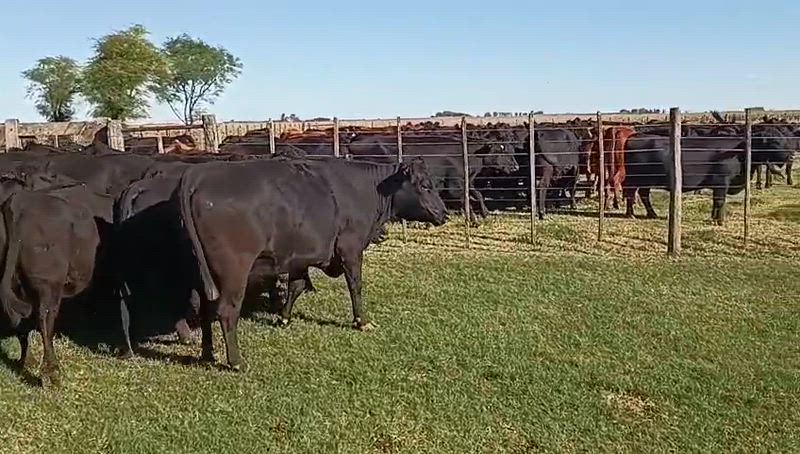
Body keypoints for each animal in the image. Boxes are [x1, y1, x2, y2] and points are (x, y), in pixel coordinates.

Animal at [176, 157, 448, 371]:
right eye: (425, 185)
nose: (444, 214)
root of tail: (200, 173)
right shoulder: (350, 249)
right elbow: (355, 286)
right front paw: (362, 321)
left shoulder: (299, 257)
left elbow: (296, 286)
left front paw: (284, 318)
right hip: (235, 271)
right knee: (226, 311)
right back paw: (237, 362)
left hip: (202, 272)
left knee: (205, 309)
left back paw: (208, 354)